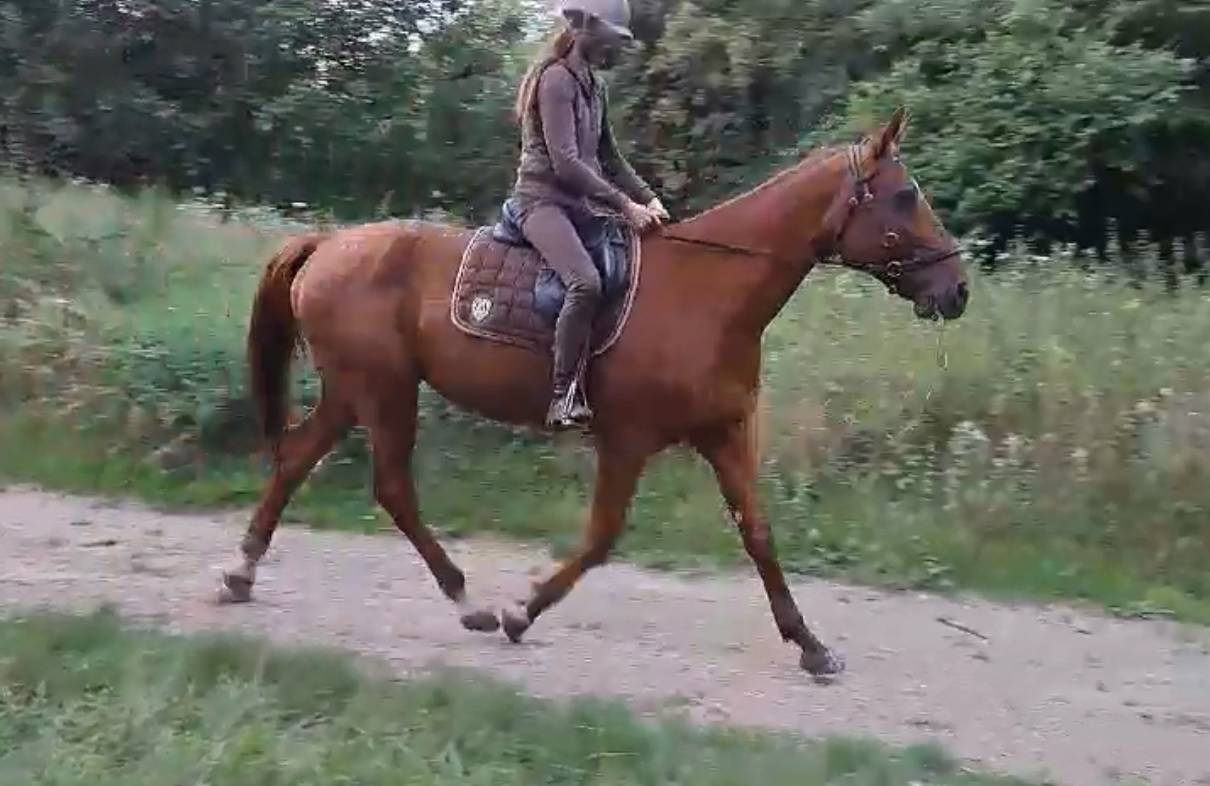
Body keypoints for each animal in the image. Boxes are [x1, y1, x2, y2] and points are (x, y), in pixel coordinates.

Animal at [217, 108, 968, 677]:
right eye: (905, 196)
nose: (956, 290)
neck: (709, 293)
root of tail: (328, 245)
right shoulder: (628, 439)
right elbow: (603, 535)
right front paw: (522, 612)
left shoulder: (724, 433)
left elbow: (757, 533)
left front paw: (810, 646)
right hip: (383, 390)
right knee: (391, 487)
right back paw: (470, 603)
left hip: (353, 390)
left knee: (297, 458)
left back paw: (243, 574)